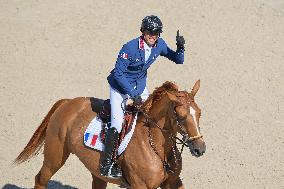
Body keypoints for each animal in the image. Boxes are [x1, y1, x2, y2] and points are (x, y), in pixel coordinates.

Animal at [15, 80, 204, 188]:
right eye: (180, 117)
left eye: (200, 113)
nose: (200, 149)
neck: (157, 147)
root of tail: (67, 103)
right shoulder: (141, 186)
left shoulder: (173, 182)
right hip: (54, 158)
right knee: (40, 179)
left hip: (96, 171)